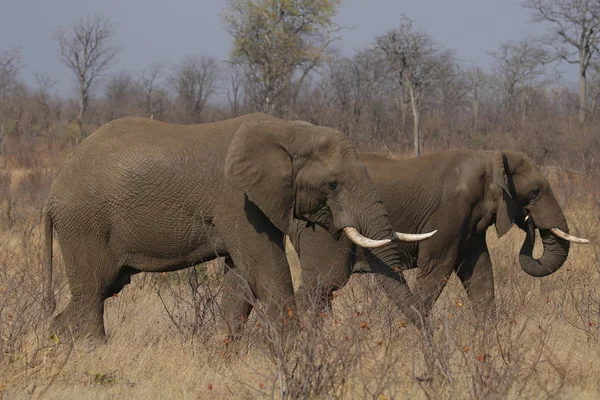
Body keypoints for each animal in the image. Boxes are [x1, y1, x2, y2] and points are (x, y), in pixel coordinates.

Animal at [44, 114, 434, 342]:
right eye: (333, 184)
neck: (287, 130)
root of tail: (52, 193)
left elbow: (241, 278)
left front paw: (222, 352)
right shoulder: (237, 200)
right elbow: (265, 269)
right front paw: (294, 351)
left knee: (100, 289)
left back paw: (56, 338)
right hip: (85, 224)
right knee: (93, 290)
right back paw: (93, 349)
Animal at [288, 150, 588, 322]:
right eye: (535, 192)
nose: (529, 221)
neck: (489, 158)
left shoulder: (470, 225)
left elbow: (479, 272)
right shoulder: (448, 214)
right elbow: (437, 269)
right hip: (324, 232)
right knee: (325, 282)